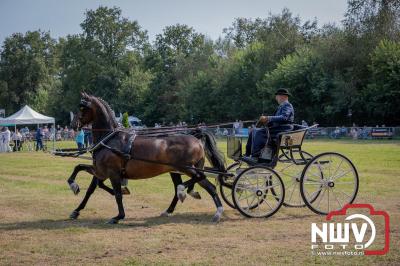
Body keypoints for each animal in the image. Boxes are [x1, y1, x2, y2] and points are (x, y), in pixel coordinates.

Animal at [67, 92, 227, 223]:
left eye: (82, 107)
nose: (73, 124)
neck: (109, 139)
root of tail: (195, 138)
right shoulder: (100, 171)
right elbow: (87, 182)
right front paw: (76, 207)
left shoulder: (113, 173)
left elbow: (117, 194)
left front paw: (119, 216)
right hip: (177, 171)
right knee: (203, 185)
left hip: (187, 168)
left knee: (202, 181)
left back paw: (196, 199)